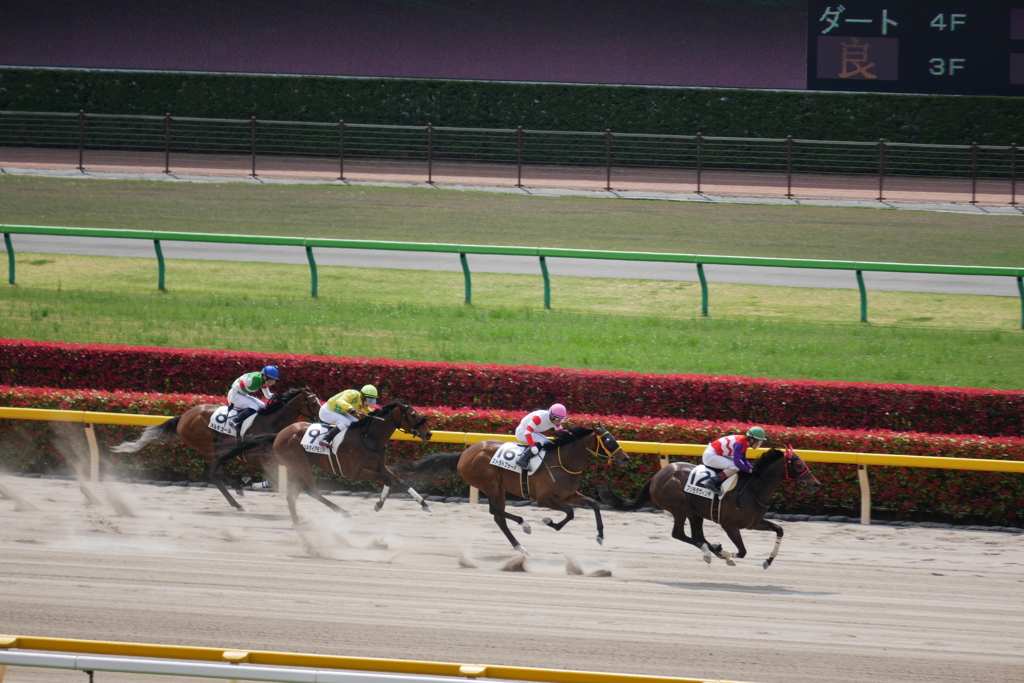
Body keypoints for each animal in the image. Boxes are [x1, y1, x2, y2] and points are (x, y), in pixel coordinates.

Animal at [111, 385, 319, 511]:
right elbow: (274, 474)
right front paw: (257, 483)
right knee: (211, 473)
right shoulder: (255, 455)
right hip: (206, 445)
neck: (270, 419)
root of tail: (184, 416)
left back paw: (237, 488)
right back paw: (237, 500)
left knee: (214, 471)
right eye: (313, 403)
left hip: (216, 448)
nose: (319, 419)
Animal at [219, 397, 432, 528]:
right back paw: (342, 512)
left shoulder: (380, 466)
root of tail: (279, 434)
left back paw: (297, 522)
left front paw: (424, 504)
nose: (429, 434)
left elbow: (399, 481)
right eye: (413, 414)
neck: (368, 437)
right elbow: (388, 480)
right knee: (312, 491)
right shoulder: (357, 472)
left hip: (298, 467)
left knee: (293, 495)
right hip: (300, 464)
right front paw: (379, 504)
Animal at [397, 428, 622, 557]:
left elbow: (594, 504)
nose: (625, 459)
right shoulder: (544, 498)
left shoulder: (568, 495)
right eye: (609, 442)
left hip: (499, 487)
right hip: (490, 484)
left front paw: (600, 536)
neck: (564, 461)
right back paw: (525, 525)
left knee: (498, 517)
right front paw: (550, 522)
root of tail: (464, 453)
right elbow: (570, 513)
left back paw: (520, 547)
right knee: (495, 512)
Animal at [598, 446, 823, 569]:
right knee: (679, 534)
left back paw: (712, 549)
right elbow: (742, 552)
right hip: (679, 507)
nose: (816, 484)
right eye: (799, 464)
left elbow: (780, 529)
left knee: (697, 535)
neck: (753, 490)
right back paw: (710, 552)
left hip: (694, 512)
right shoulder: (730, 525)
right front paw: (726, 554)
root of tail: (657, 476)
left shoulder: (754, 522)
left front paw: (768, 560)